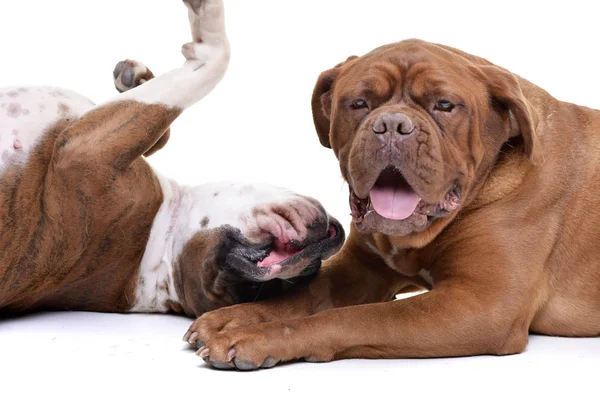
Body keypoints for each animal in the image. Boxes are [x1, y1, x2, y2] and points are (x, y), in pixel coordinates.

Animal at [0, 0, 342, 318]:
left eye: (261, 282)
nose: (320, 247)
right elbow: (161, 129)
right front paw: (136, 78)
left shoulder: (79, 152)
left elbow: (210, 63)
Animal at [188, 39, 600, 370]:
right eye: (359, 103)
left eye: (444, 105)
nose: (391, 126)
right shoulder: (360, 269)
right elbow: (300, 294)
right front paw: (233, 318)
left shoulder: (482, 304)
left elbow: (358, 318)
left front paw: (257, 338)